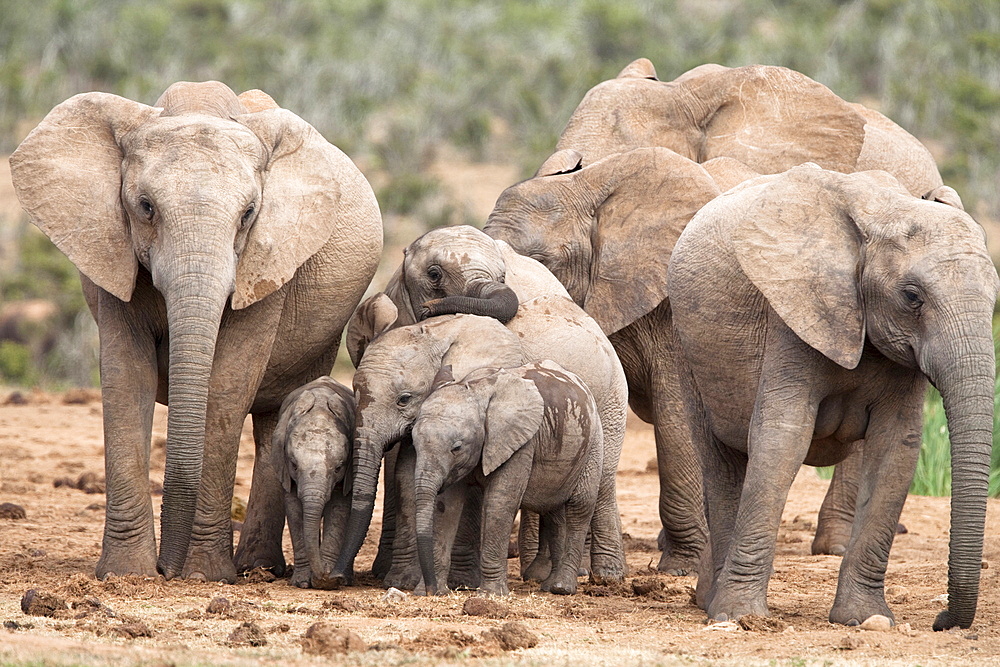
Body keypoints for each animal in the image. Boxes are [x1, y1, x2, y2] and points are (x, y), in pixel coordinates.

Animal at [270, 376, 356, 588]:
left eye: (338, 468)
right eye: (294, 465)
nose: (326, 575)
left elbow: (339, 510)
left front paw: (327, 582)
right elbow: (294, 510)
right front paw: (302, 583)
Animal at [412, 360, 600, 596]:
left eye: (457, 448)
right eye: (414, 443)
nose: (432, 590)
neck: (476, 388)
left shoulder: (521, 441)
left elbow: (500, 501)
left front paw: (491, 594)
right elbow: (446, 506)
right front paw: (428, 592)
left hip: (593, 443)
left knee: (580, 506)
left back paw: (562, 587)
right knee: (554, 511)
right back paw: (549, 585)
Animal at [664, 164, 1000, 628]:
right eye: (911, 297)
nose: (942, 619)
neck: (884, 214)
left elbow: (896, 449)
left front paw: (863, 619)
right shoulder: (794, 312)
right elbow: (783, 438)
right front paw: (740, 616)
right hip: (687, 345)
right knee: (721, 459)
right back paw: (712, 603)